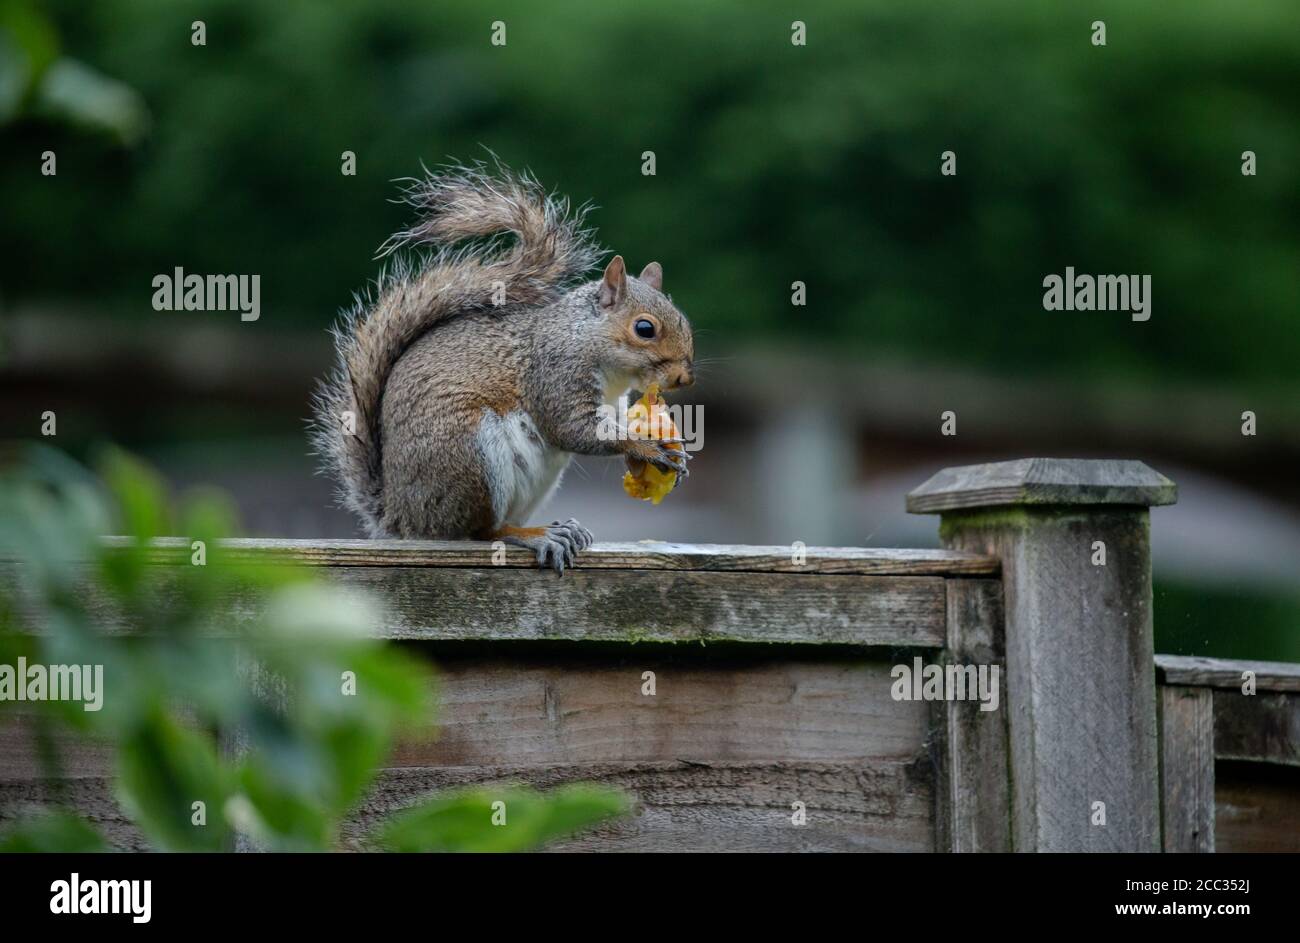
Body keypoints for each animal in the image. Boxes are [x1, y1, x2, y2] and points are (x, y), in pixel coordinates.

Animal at [310, 160, 696, 569]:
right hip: (469, 455)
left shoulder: (613, 403)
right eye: (644, 328)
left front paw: (665, 455)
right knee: (481, 531)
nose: (684, 378)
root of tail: (402, 517)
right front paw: (646, 447)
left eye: (683, 320)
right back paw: (534, 534)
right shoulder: (555, 374)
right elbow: (573, 430)